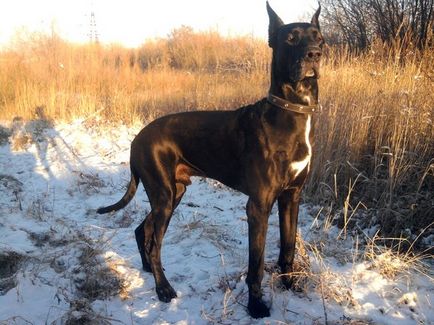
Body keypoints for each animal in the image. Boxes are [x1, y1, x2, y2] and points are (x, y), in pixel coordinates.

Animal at [98, 1, 322, 316]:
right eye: (290, 39)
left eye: (319, 39)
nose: (314, 54)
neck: (290, 112)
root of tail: (136, 139)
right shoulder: (258, 205)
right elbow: (256, 265)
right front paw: (256, 305)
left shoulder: (292, 197)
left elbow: (288, 247)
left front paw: (290, 284)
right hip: (164, 194)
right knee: (155, 242)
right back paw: (163, 289)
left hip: (174, 192)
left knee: (144, 230)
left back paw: (149, 271)